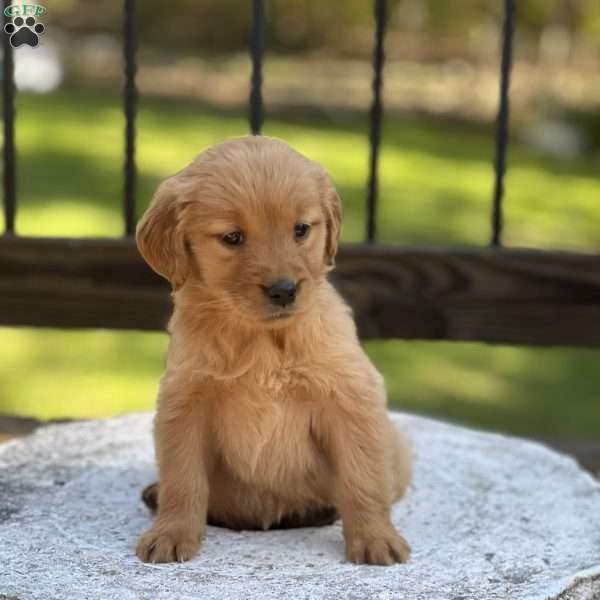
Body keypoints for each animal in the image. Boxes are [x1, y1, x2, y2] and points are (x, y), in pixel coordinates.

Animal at [135, 136, 412, 568]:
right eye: (232, 237)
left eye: (301, 230)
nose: (284, 290)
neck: (262, 339)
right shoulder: (184, 401)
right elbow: (183, 479)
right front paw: (171, 533)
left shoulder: (350, 396)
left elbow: (362, 477)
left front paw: (375, 537)